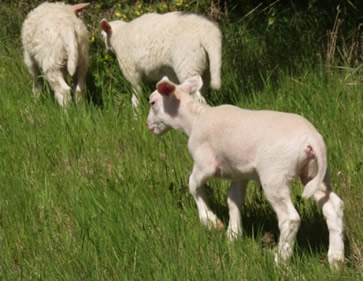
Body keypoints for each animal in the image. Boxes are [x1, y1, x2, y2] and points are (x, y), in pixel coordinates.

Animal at [146, 75, 346, 268]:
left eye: (152, 102)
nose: (148, 126)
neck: (194, 119)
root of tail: (312, 139)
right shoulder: (239, 173)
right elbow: (233, 199)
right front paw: (233, 235)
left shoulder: (205, 163)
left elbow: (193, 185)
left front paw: (211, 222)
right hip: (314, 173)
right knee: (333, 207)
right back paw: (336, 260)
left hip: (274, 174)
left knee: (290, 219)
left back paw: (279, 261)